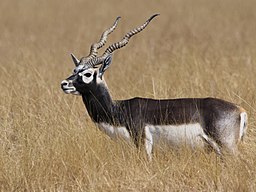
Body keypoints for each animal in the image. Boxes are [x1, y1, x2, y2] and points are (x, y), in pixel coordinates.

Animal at [61, 14, 247, 160]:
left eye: (87, 74)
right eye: (75, 70)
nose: (64, 84)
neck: (119, 109)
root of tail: (240, 110)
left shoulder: (144, 144)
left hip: (227, 147)